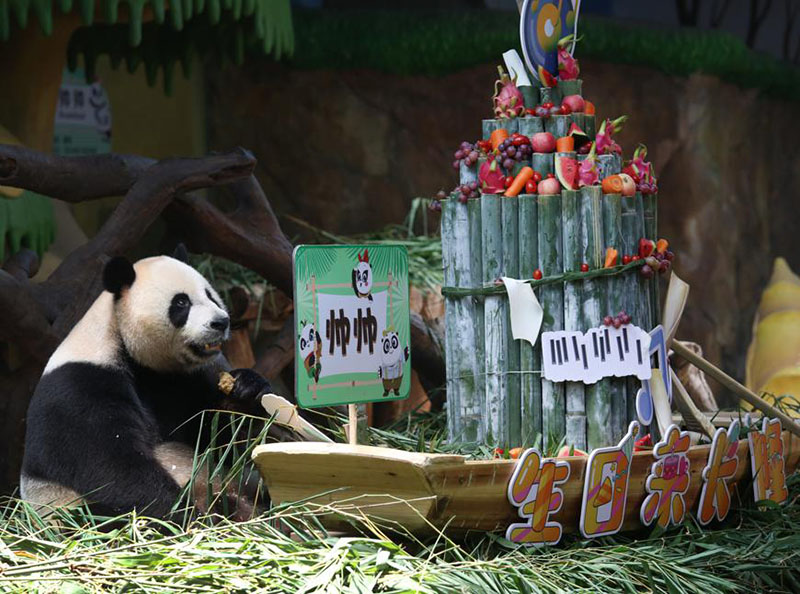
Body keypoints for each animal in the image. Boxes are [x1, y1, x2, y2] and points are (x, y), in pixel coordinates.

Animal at [20, 250, 276, 520]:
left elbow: (216, 441)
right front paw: (184, 514)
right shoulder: (81, 387)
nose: (221, 322)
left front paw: (245, 390)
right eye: (181, 303)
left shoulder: (178, 381)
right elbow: (113, 469)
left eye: (210, 295)